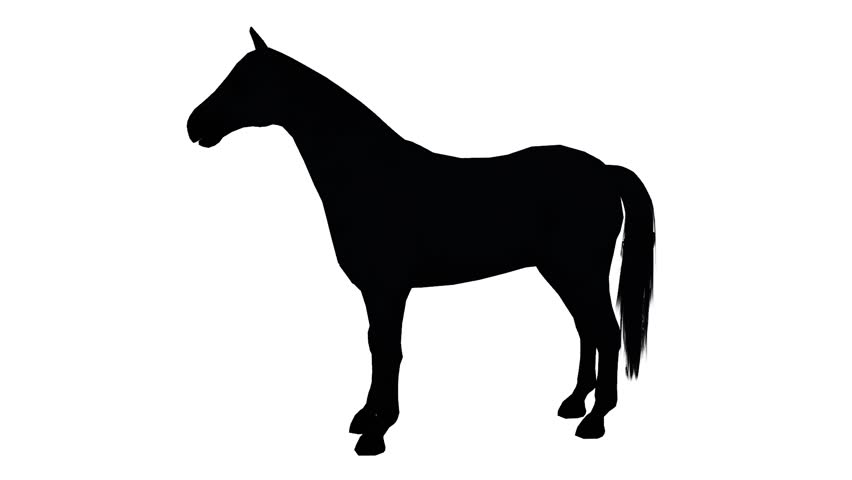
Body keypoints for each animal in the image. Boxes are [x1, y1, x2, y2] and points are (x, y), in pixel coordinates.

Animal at [187, 28, 655, 456]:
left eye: (245, 82)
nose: (194, 124)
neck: (370, 175)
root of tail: (604, 171)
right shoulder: (376, 291)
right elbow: (375, 345)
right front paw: (366, 417)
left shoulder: (388, 288)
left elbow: (388, 350)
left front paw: (376, 432)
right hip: (563, 273)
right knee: (587, 330)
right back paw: (575, 403)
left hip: (578, 272)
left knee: (606, 332)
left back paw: (595, 421)